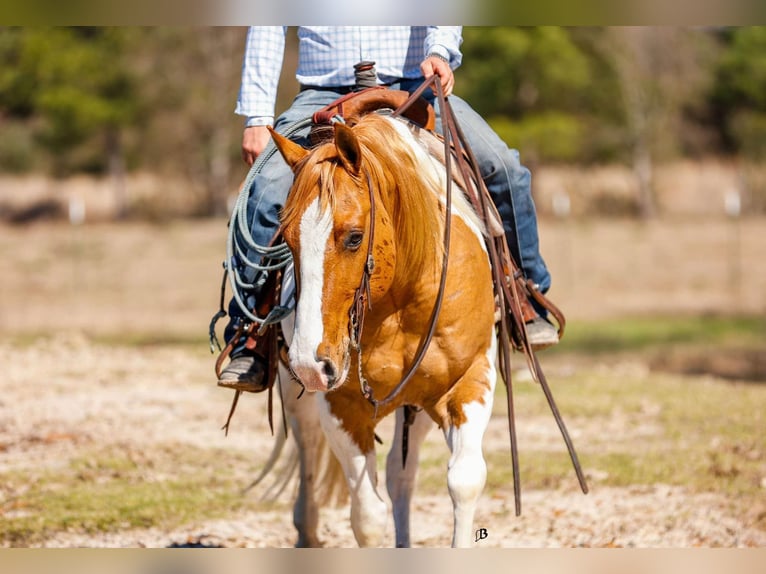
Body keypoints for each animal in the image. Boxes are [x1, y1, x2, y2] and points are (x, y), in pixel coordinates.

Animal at [268, 110, 498, 552]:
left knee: (400, 474)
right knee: (307, 446)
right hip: (295, 392)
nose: (310, 362)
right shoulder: (341, 405)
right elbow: (367, 516)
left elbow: (464, 481)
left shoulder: (469, 379)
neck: (400, 301)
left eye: (355, 237)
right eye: (286, 238)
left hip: (416, 404)